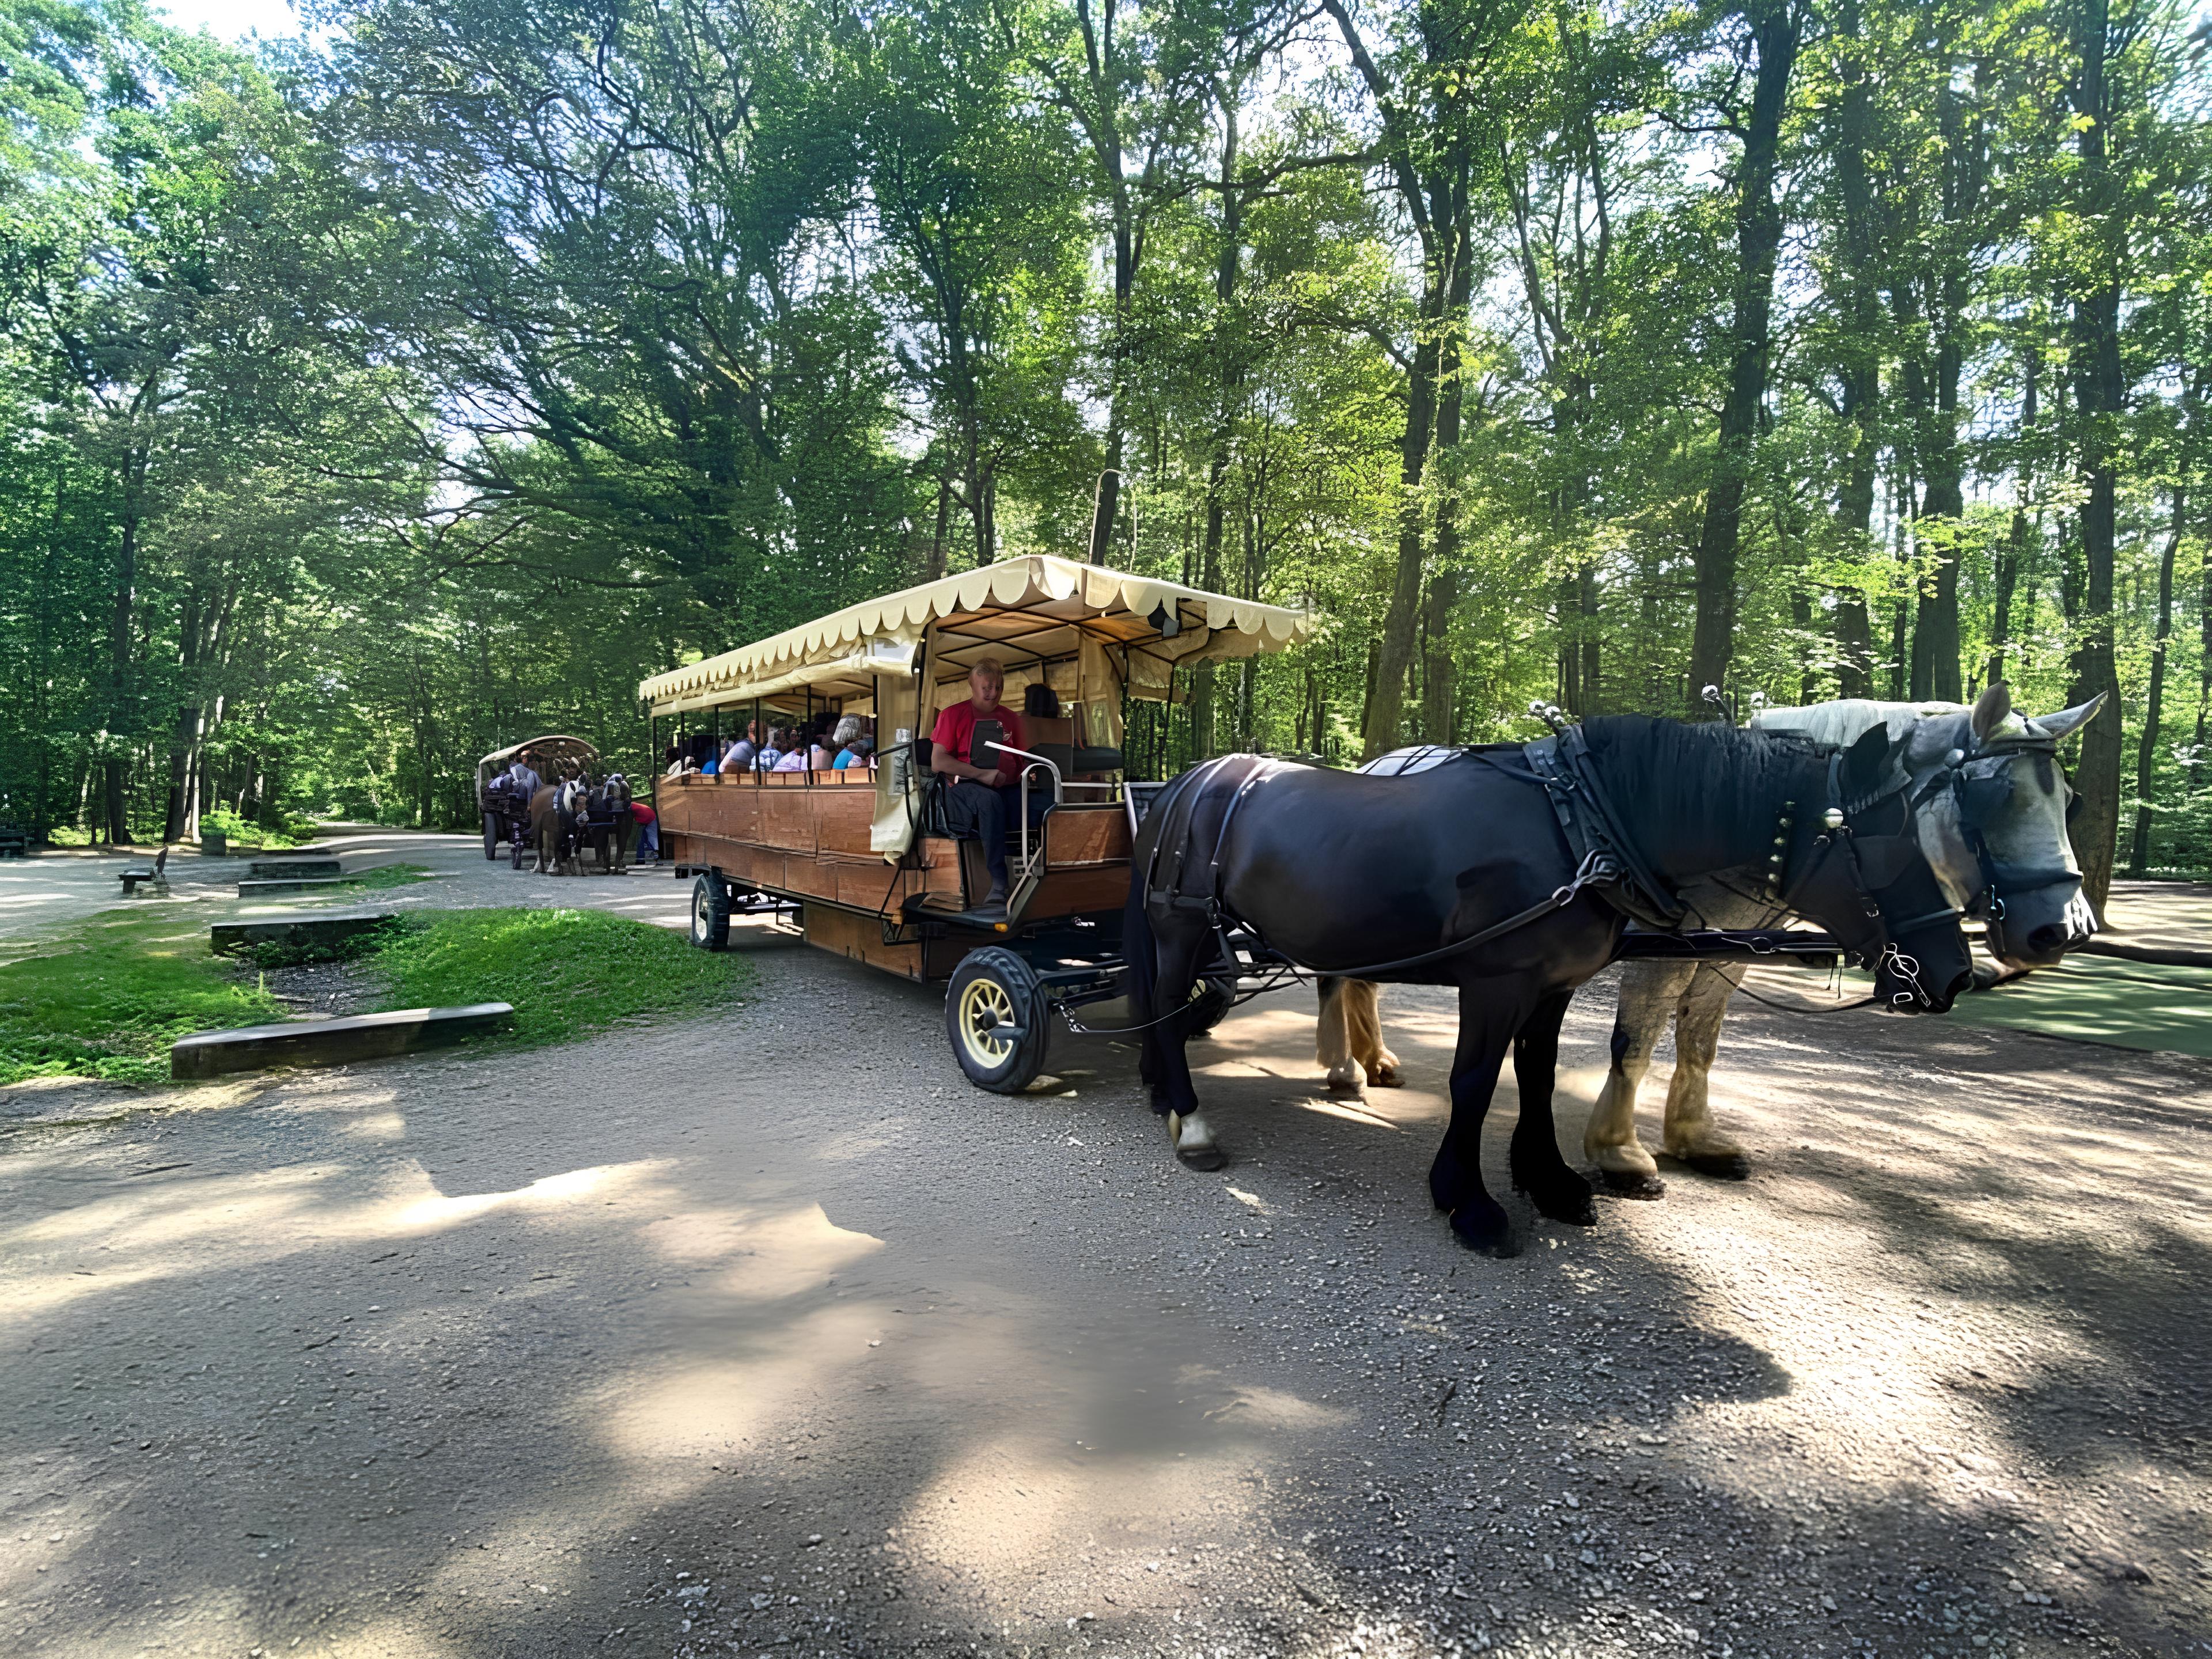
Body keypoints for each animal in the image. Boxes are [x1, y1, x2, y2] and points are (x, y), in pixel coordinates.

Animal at [1132, 717, 1982, 1256]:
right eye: (1886, 842)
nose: (1955, 972)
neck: (1582, 826)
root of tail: (1191, 780)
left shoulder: (1554, 987)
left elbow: (1536, 1079)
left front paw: (1551, 1183)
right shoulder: (1495, 983)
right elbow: (1476, 1084)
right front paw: (1469, 1201)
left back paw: (1170, 1096)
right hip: (1178, 929)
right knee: (1167, 1013)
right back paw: (1193, 1122)